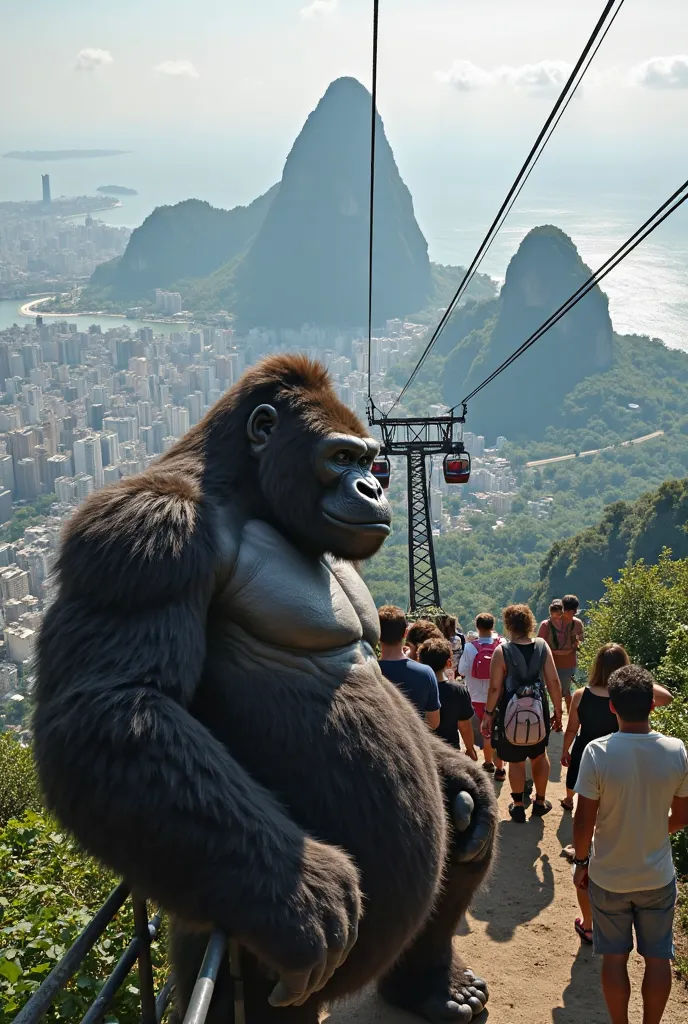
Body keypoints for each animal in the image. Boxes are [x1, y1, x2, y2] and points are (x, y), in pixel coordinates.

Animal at [33, 354, 495, 1024]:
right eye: (340, 457)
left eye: (369, 458)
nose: (373, 488)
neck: (246, 490)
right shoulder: (145, 528)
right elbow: (115, 706)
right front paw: (303, 895)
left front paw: (464, 776)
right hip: (244, 947)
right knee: (243, 988)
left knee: (461, 840)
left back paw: (430, 983)